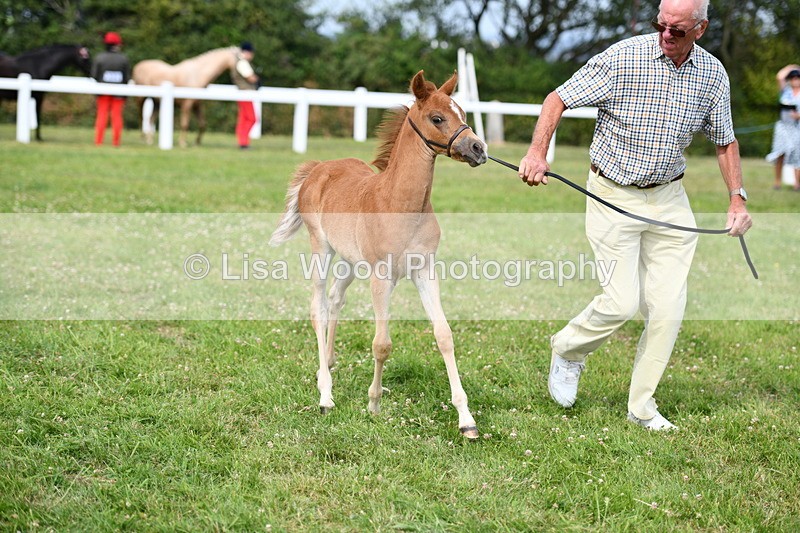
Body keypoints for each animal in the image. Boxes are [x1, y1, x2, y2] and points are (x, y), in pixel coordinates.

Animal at [269, 71, 488, 439]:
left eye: (463, 113)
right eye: (437, 118)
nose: (478, 149)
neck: (401, 205)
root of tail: (318, 168)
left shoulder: (425, 271)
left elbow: (444, 335)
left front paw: (466, 419)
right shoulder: (381, 277)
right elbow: (382, 344)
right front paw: (373, 403)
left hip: (349, 259)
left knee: (335, 298)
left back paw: (328, 364)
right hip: (321, 248)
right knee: (318, 307)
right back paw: (325, 394)